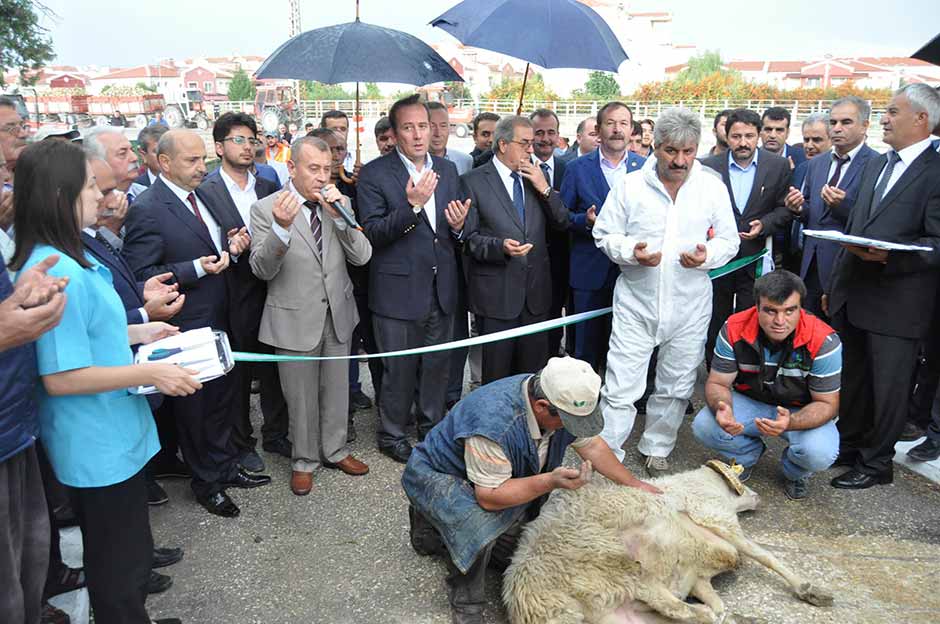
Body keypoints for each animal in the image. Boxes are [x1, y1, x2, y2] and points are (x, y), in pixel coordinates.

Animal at [504, 464, 832, 624]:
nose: (758, 497)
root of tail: (527, 600)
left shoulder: (700, 574)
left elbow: (717, 596)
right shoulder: (717, 519)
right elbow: (761, 555)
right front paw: (808, 589)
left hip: (620, 614)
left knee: (678, 611)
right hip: (616, 568)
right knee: (675, 607)